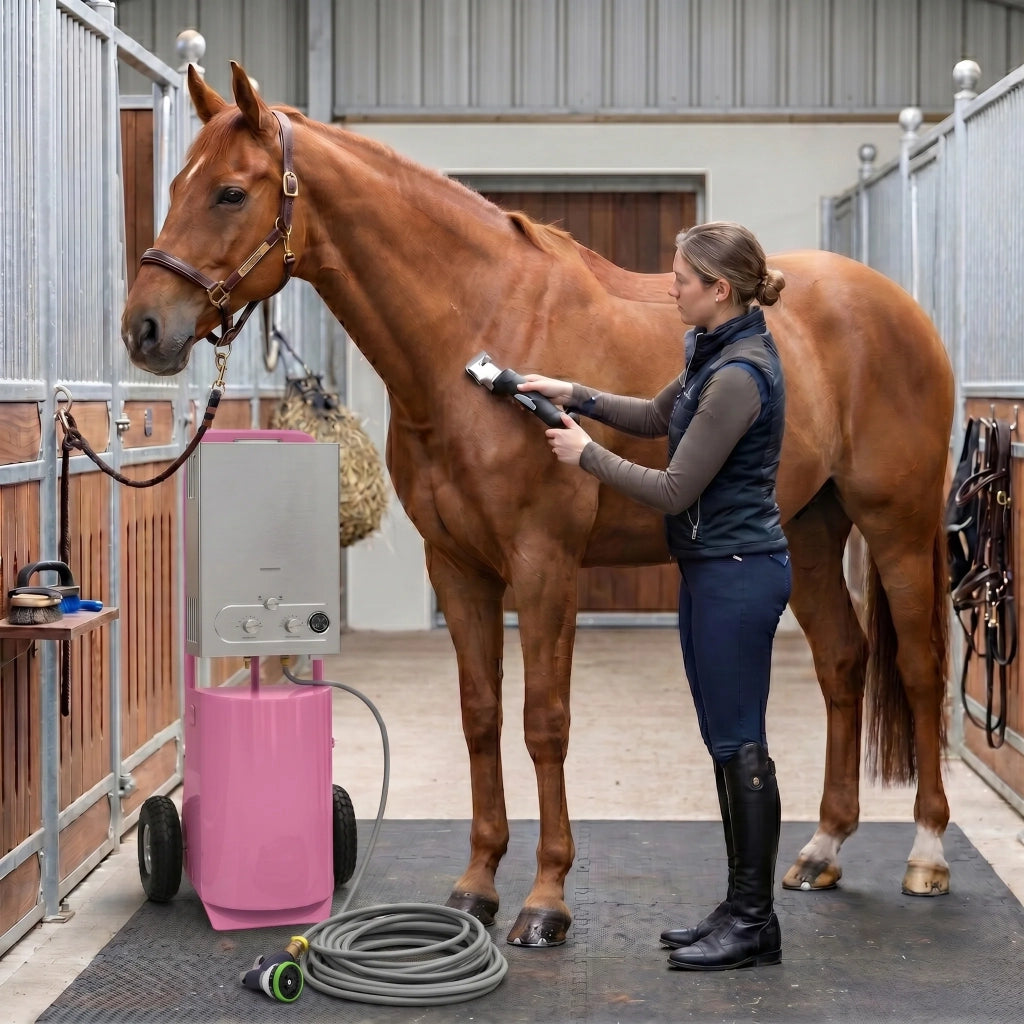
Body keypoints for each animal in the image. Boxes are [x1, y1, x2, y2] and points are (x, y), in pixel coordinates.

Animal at [121, 62, 955, 948]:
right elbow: (481, 716)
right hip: (807, 531)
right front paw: (477, 884)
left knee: (919, 669)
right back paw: (823, 848)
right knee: (842, 663)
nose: (143, 329)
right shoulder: (458, 567)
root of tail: (900, 309)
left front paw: (546, 898)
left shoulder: (545, 564)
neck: (477, 328)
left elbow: (544, 720)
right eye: (176, 185)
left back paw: (927, 853)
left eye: (230, 193)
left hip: (896, 527)